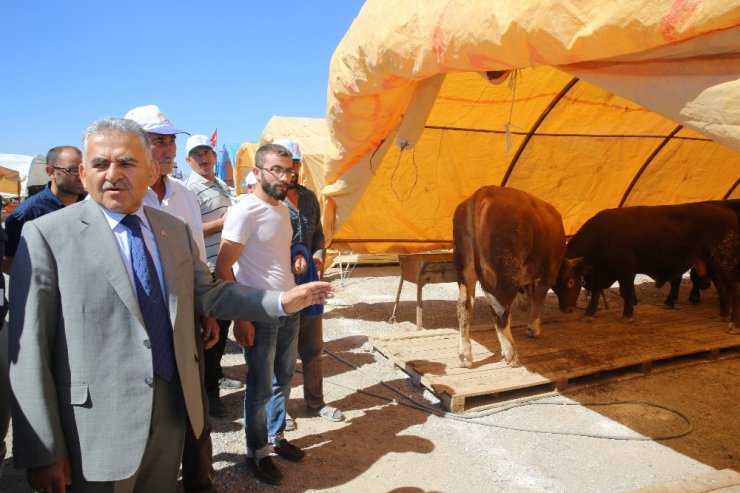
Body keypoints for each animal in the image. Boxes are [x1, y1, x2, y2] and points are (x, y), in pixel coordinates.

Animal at [450, 186, 584, 368]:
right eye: (572, 282)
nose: (570, 308)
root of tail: (483, 192)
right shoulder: (548, 275)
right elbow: (538, 300)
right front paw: (533, 328)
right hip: (507, 271)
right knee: (500, 310)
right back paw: (511, 354)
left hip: (465, 271)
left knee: (464, 306)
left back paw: (465, 355)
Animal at [568, 202, 740, 332]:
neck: (601, 237)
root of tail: (729, 213)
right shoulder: (601, 271)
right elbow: (597, 291)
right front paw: (588, 314)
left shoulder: (626, 270)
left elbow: (626, 291)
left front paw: (627, 316)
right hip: (711, 264)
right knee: (723, 288)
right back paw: (722, 315)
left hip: (726, 262)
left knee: (734, 289)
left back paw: (734, 325)